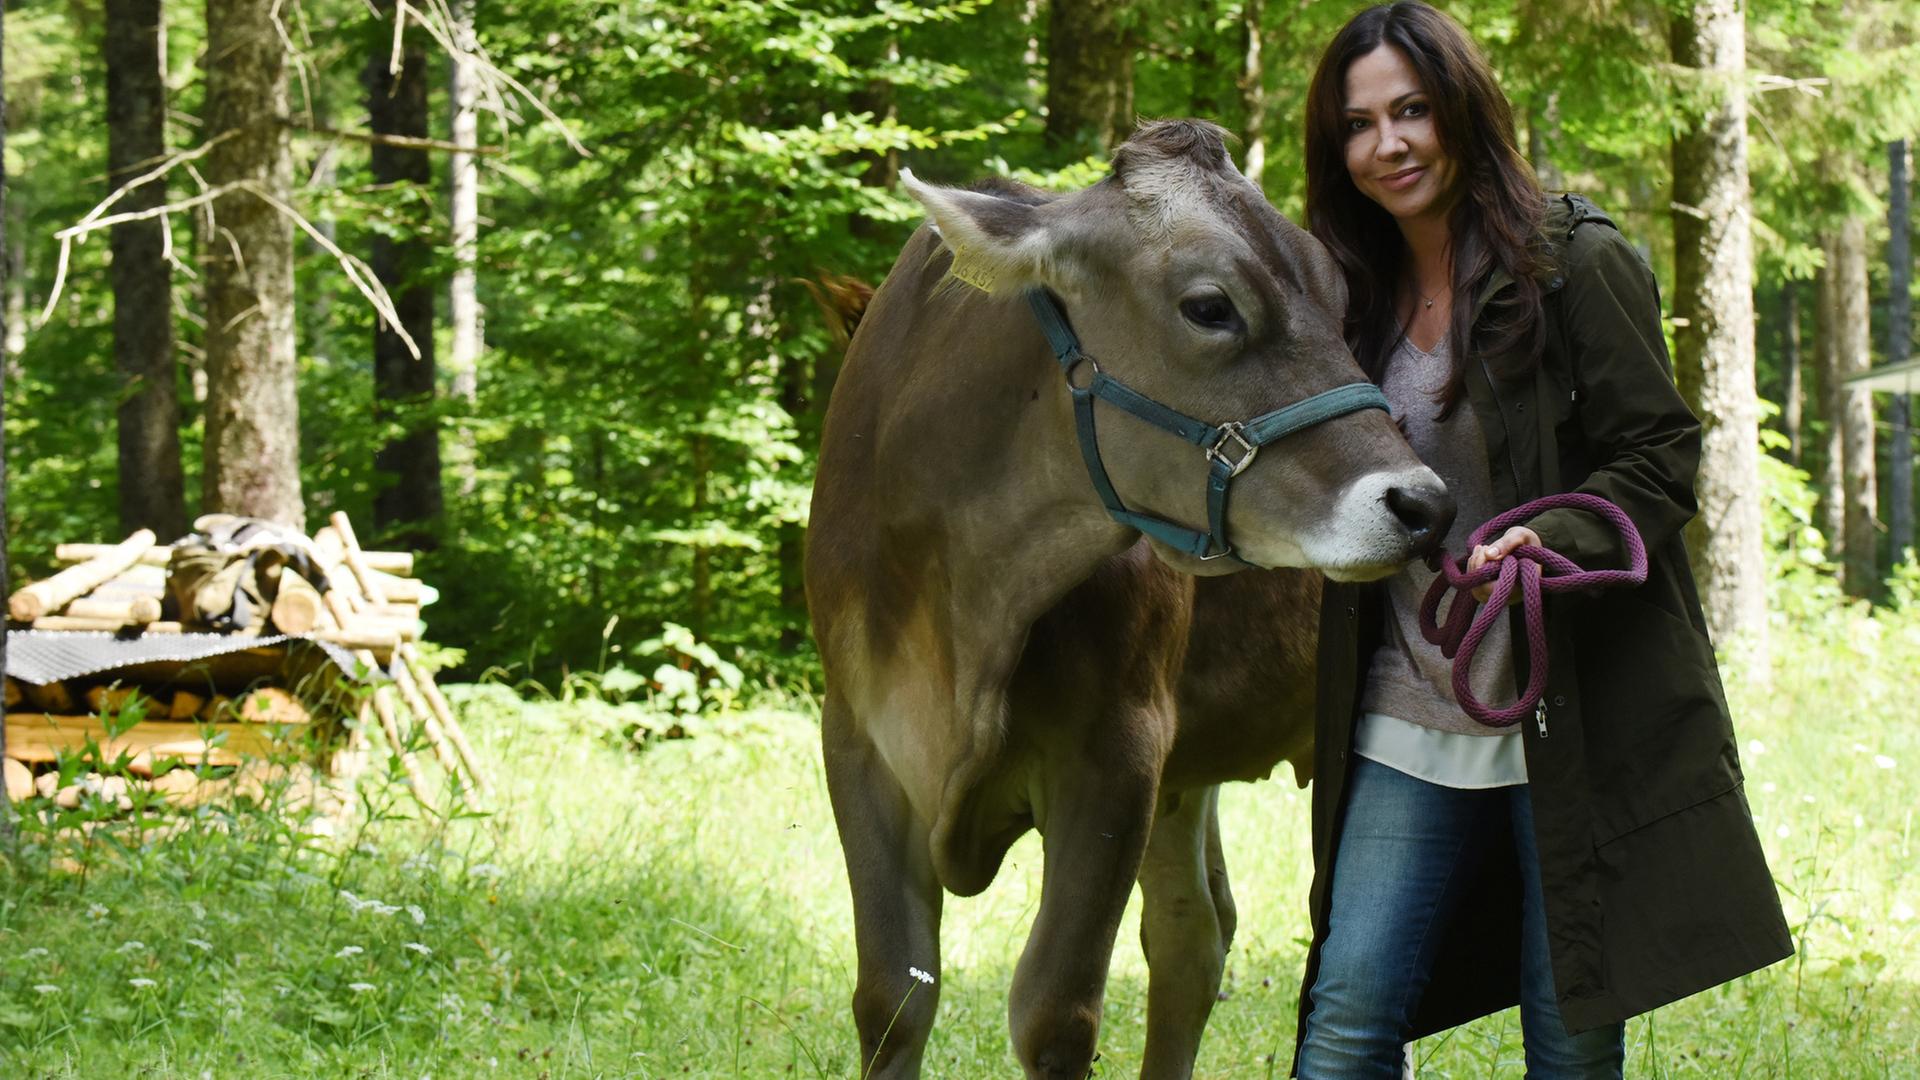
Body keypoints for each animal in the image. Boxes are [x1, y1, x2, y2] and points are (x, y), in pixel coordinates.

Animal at [805, 120, 1453, 1079]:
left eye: (1341, 297)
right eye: (1210, 306)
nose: (1423, 505)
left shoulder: (1118, 746)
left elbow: (1054, 1010)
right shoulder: (858, 735)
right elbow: (892, 998)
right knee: (1195, 934)